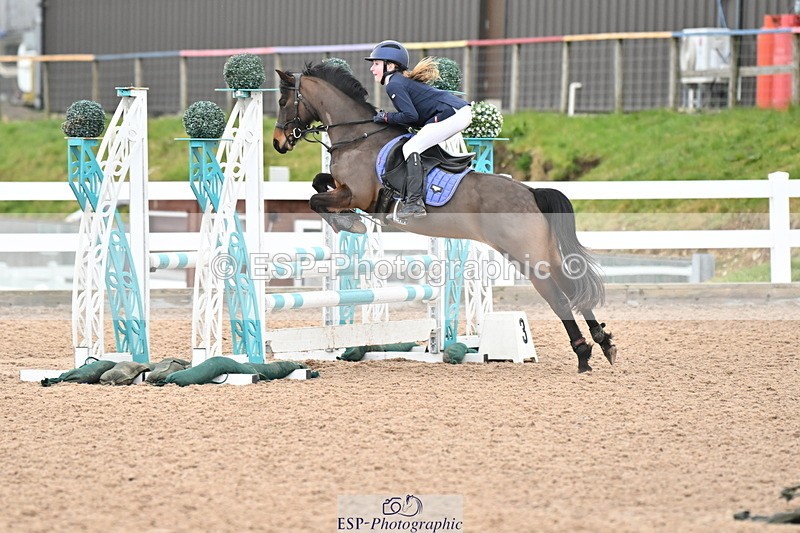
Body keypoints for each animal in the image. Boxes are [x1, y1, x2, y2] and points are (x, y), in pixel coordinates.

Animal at [272, 62, 616, 373]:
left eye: (283, 102)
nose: (278, 142)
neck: (358, 135)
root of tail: (530, 192)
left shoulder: (357, 195)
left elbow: (316, 199)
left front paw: (347, 222)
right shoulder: (345, 189)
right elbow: (318, 183)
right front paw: (346, 220)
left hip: (527, 257)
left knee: (560, 299)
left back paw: (583, 355)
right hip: (542, 253)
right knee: (572, 289)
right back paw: (603, 343)